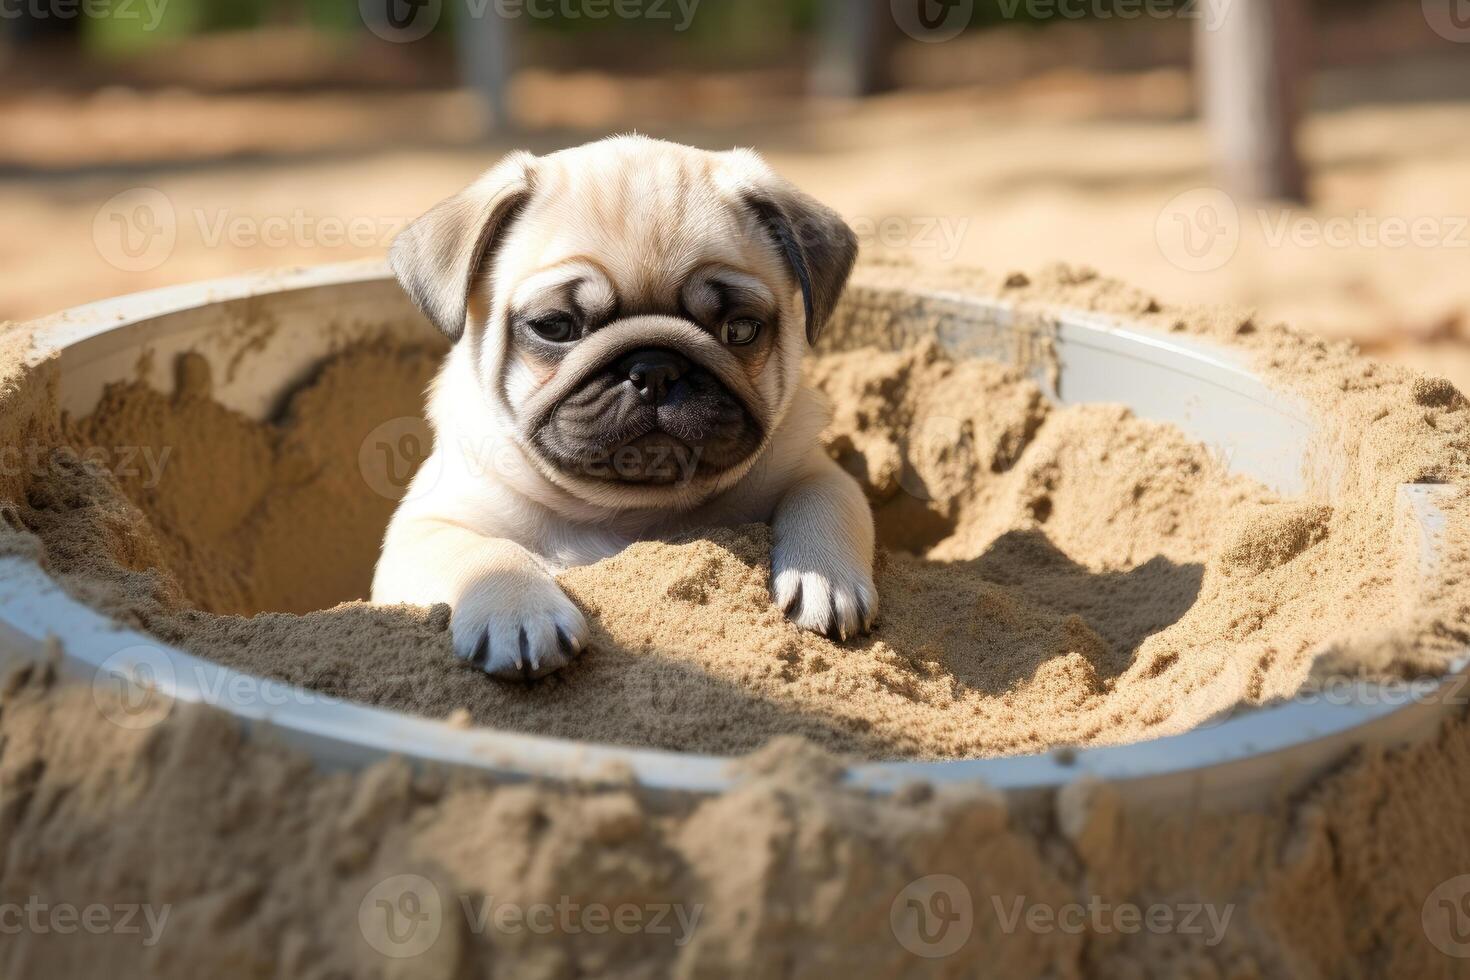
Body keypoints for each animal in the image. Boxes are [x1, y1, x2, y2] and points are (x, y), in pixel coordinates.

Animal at [376, 134, 870, 678]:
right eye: (555, 326)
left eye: (740, 330)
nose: (655, 369)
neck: (625, 512)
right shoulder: (426, 528)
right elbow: (484, 551)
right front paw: (518, 610)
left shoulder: (812, 467)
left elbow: (825, 496)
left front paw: (821, 573)